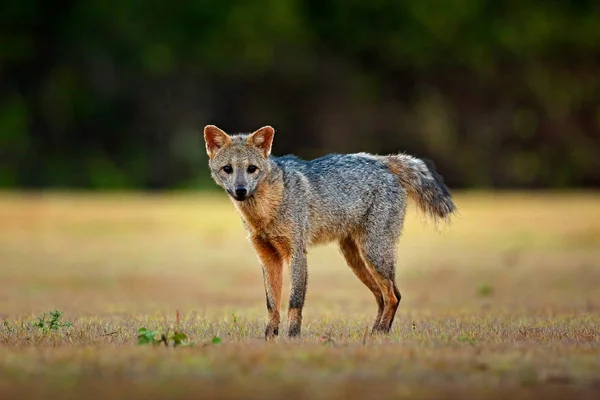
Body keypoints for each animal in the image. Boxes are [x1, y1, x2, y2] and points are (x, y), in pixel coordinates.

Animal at [203, 124, 454, 338]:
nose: (240, 190)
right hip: (356, 260)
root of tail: (380, 160)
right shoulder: (267, 257)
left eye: (251, 169)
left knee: (393, 295)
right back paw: (373, 333)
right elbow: (272, 304)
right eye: (228, 169)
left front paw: (292, 338)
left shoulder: (296, 253)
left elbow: (294, 302)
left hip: (374, 254)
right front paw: (269, 338)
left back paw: (380, 334)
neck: (266, 213)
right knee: (383, 296)